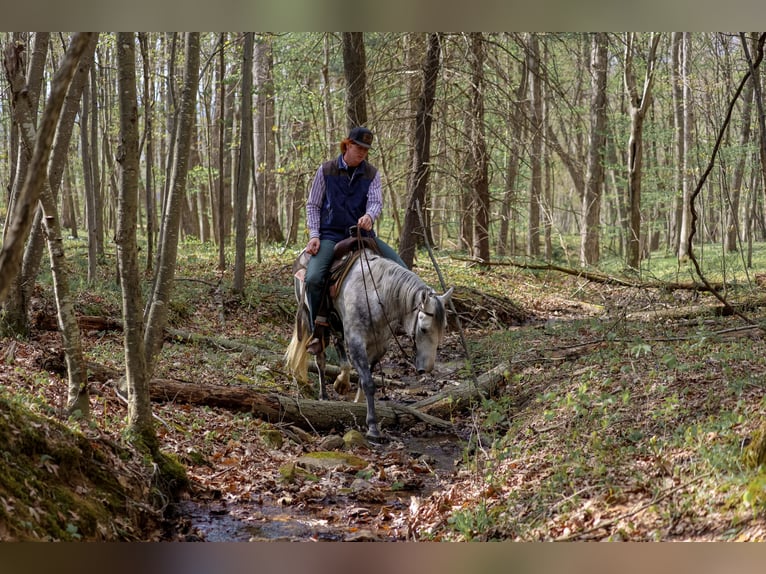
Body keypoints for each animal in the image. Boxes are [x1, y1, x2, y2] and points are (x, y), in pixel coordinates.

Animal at [284, 247, 453, 440]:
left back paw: (342, 381)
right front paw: (372, 428)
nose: (427, 368)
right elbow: (369, 383)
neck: (377, 295)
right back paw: (324, 395)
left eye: (443, 328)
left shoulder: (378, 346)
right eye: (424, 329)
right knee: (321, 358)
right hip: (314, 321)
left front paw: (358, 404)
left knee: (339, 346)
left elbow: (363, 380)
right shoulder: (356, 341)